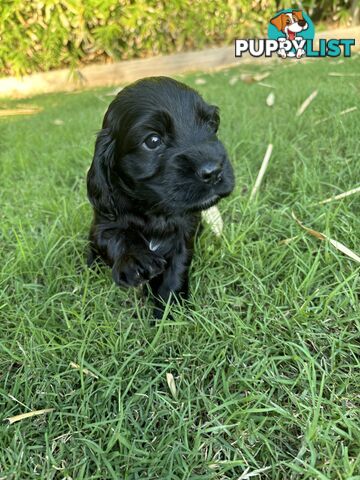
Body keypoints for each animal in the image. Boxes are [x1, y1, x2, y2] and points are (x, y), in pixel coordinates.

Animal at [86, 77, 235, 316]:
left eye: (211, 124)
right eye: (153, 141)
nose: (213, 171)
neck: (155, 210)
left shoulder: (186, 232)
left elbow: (177, 268)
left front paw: (170, 311)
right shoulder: (103, 223)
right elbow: (116, 237)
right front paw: (135, 259)